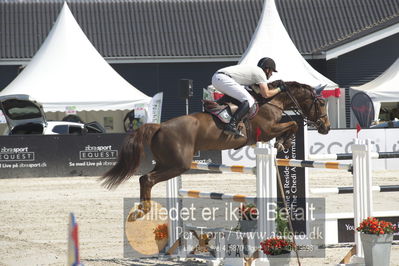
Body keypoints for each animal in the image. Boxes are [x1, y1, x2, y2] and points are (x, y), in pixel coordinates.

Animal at [101, 80, 332, 218]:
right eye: (321, 104)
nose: (326, 127)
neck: (270, 101)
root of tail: (160, 126)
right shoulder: (266, 131)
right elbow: (292, 124)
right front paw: (284, 143)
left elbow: (291, 124)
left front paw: (284, 143)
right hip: (178, 165)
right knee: (147, 179)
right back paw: (145, 210)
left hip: (166, 163)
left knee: (143, 178)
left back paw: (141, 210)